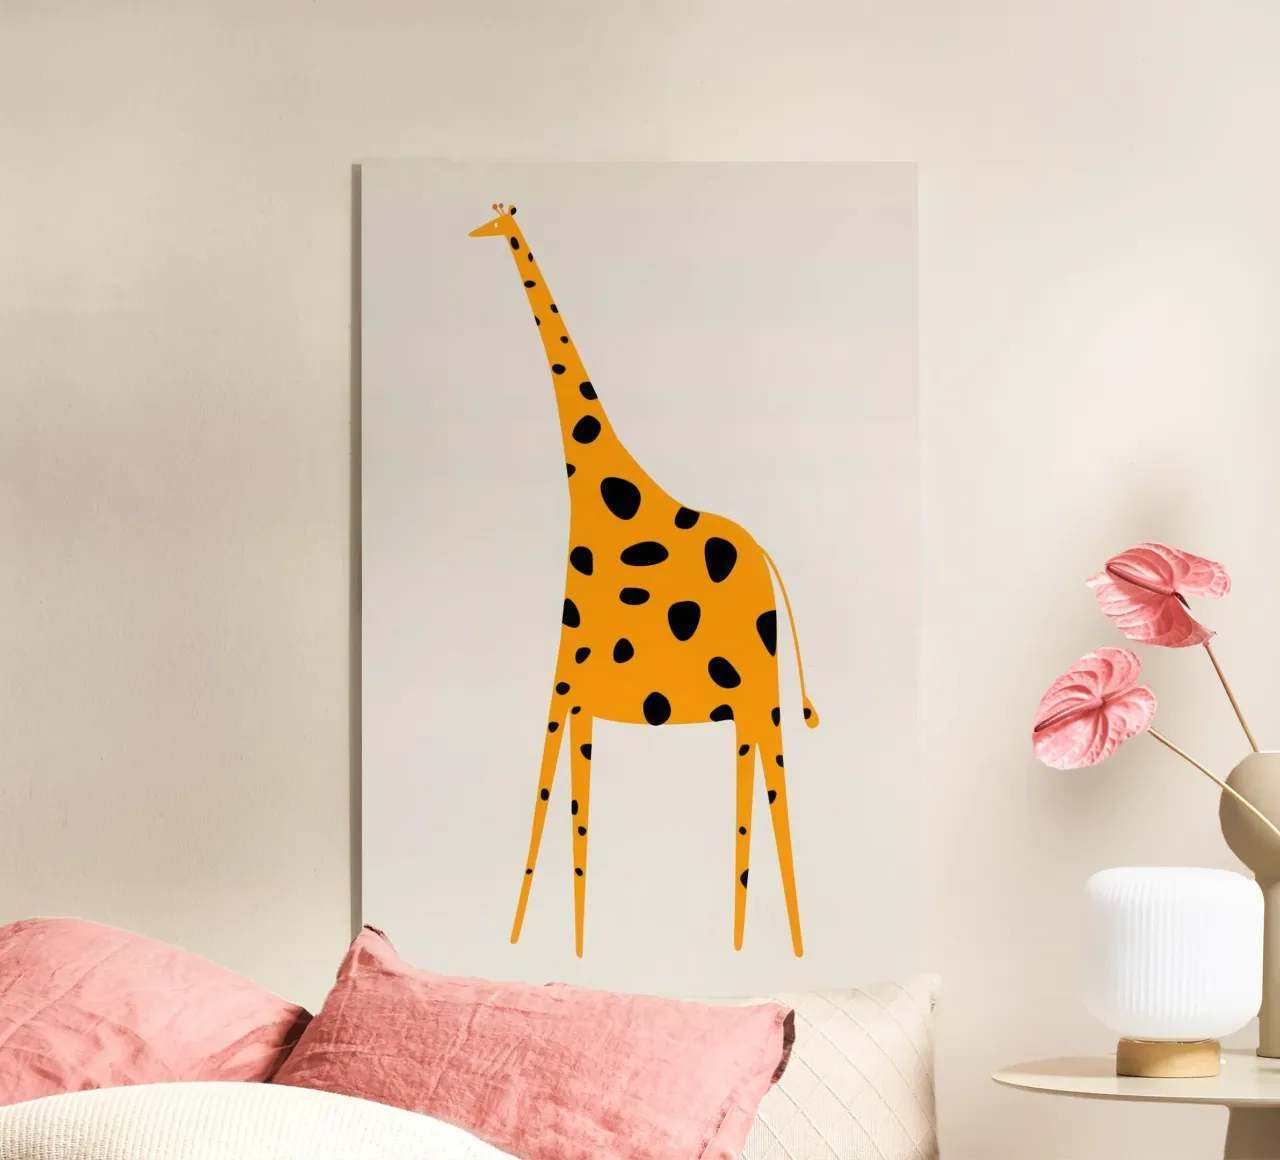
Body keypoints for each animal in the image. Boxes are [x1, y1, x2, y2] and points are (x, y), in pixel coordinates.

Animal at [469, 203, 820, 959]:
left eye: (494, 218)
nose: (473, 234)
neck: (602, 496)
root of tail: (768, 563)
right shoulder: (584, 694)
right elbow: (575, 805)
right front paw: (564, 947)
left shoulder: (565, 674)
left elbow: (547, 791)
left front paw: (517, 933)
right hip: (742, 700)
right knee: (751, 791)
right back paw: (744, 944)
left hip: (758, 688)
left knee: (774, 790)